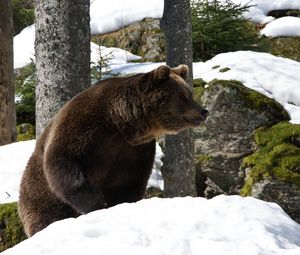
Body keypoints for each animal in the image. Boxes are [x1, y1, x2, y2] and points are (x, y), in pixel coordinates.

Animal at [17, 64, 207, 237]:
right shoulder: (82, 127)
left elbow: (128, 183)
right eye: (183, 95)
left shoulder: (134, 151)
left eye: (189, 93)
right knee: (47, 215)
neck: (119, 123)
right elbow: (63, 162)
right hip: (38, 196)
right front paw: (97, 202)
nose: (204, 111)